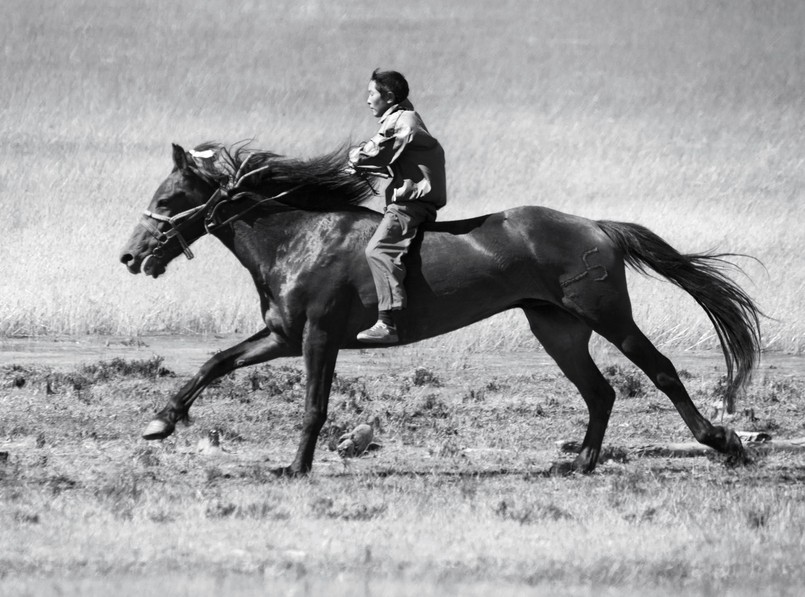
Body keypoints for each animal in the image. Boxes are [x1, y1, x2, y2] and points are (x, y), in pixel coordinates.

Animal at [118, 142, 760, 472]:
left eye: (168, 199)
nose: (129, 256)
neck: (298, 236)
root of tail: (596, 227)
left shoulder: (318, 337)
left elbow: (313, 406)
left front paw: (295, 468)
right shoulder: (281, 335)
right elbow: (213, 364)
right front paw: (160, 422)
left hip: (609, 318)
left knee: (660, 371)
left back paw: (721, 442)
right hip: (556, 330)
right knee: (599, 392)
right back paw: (578, 463)